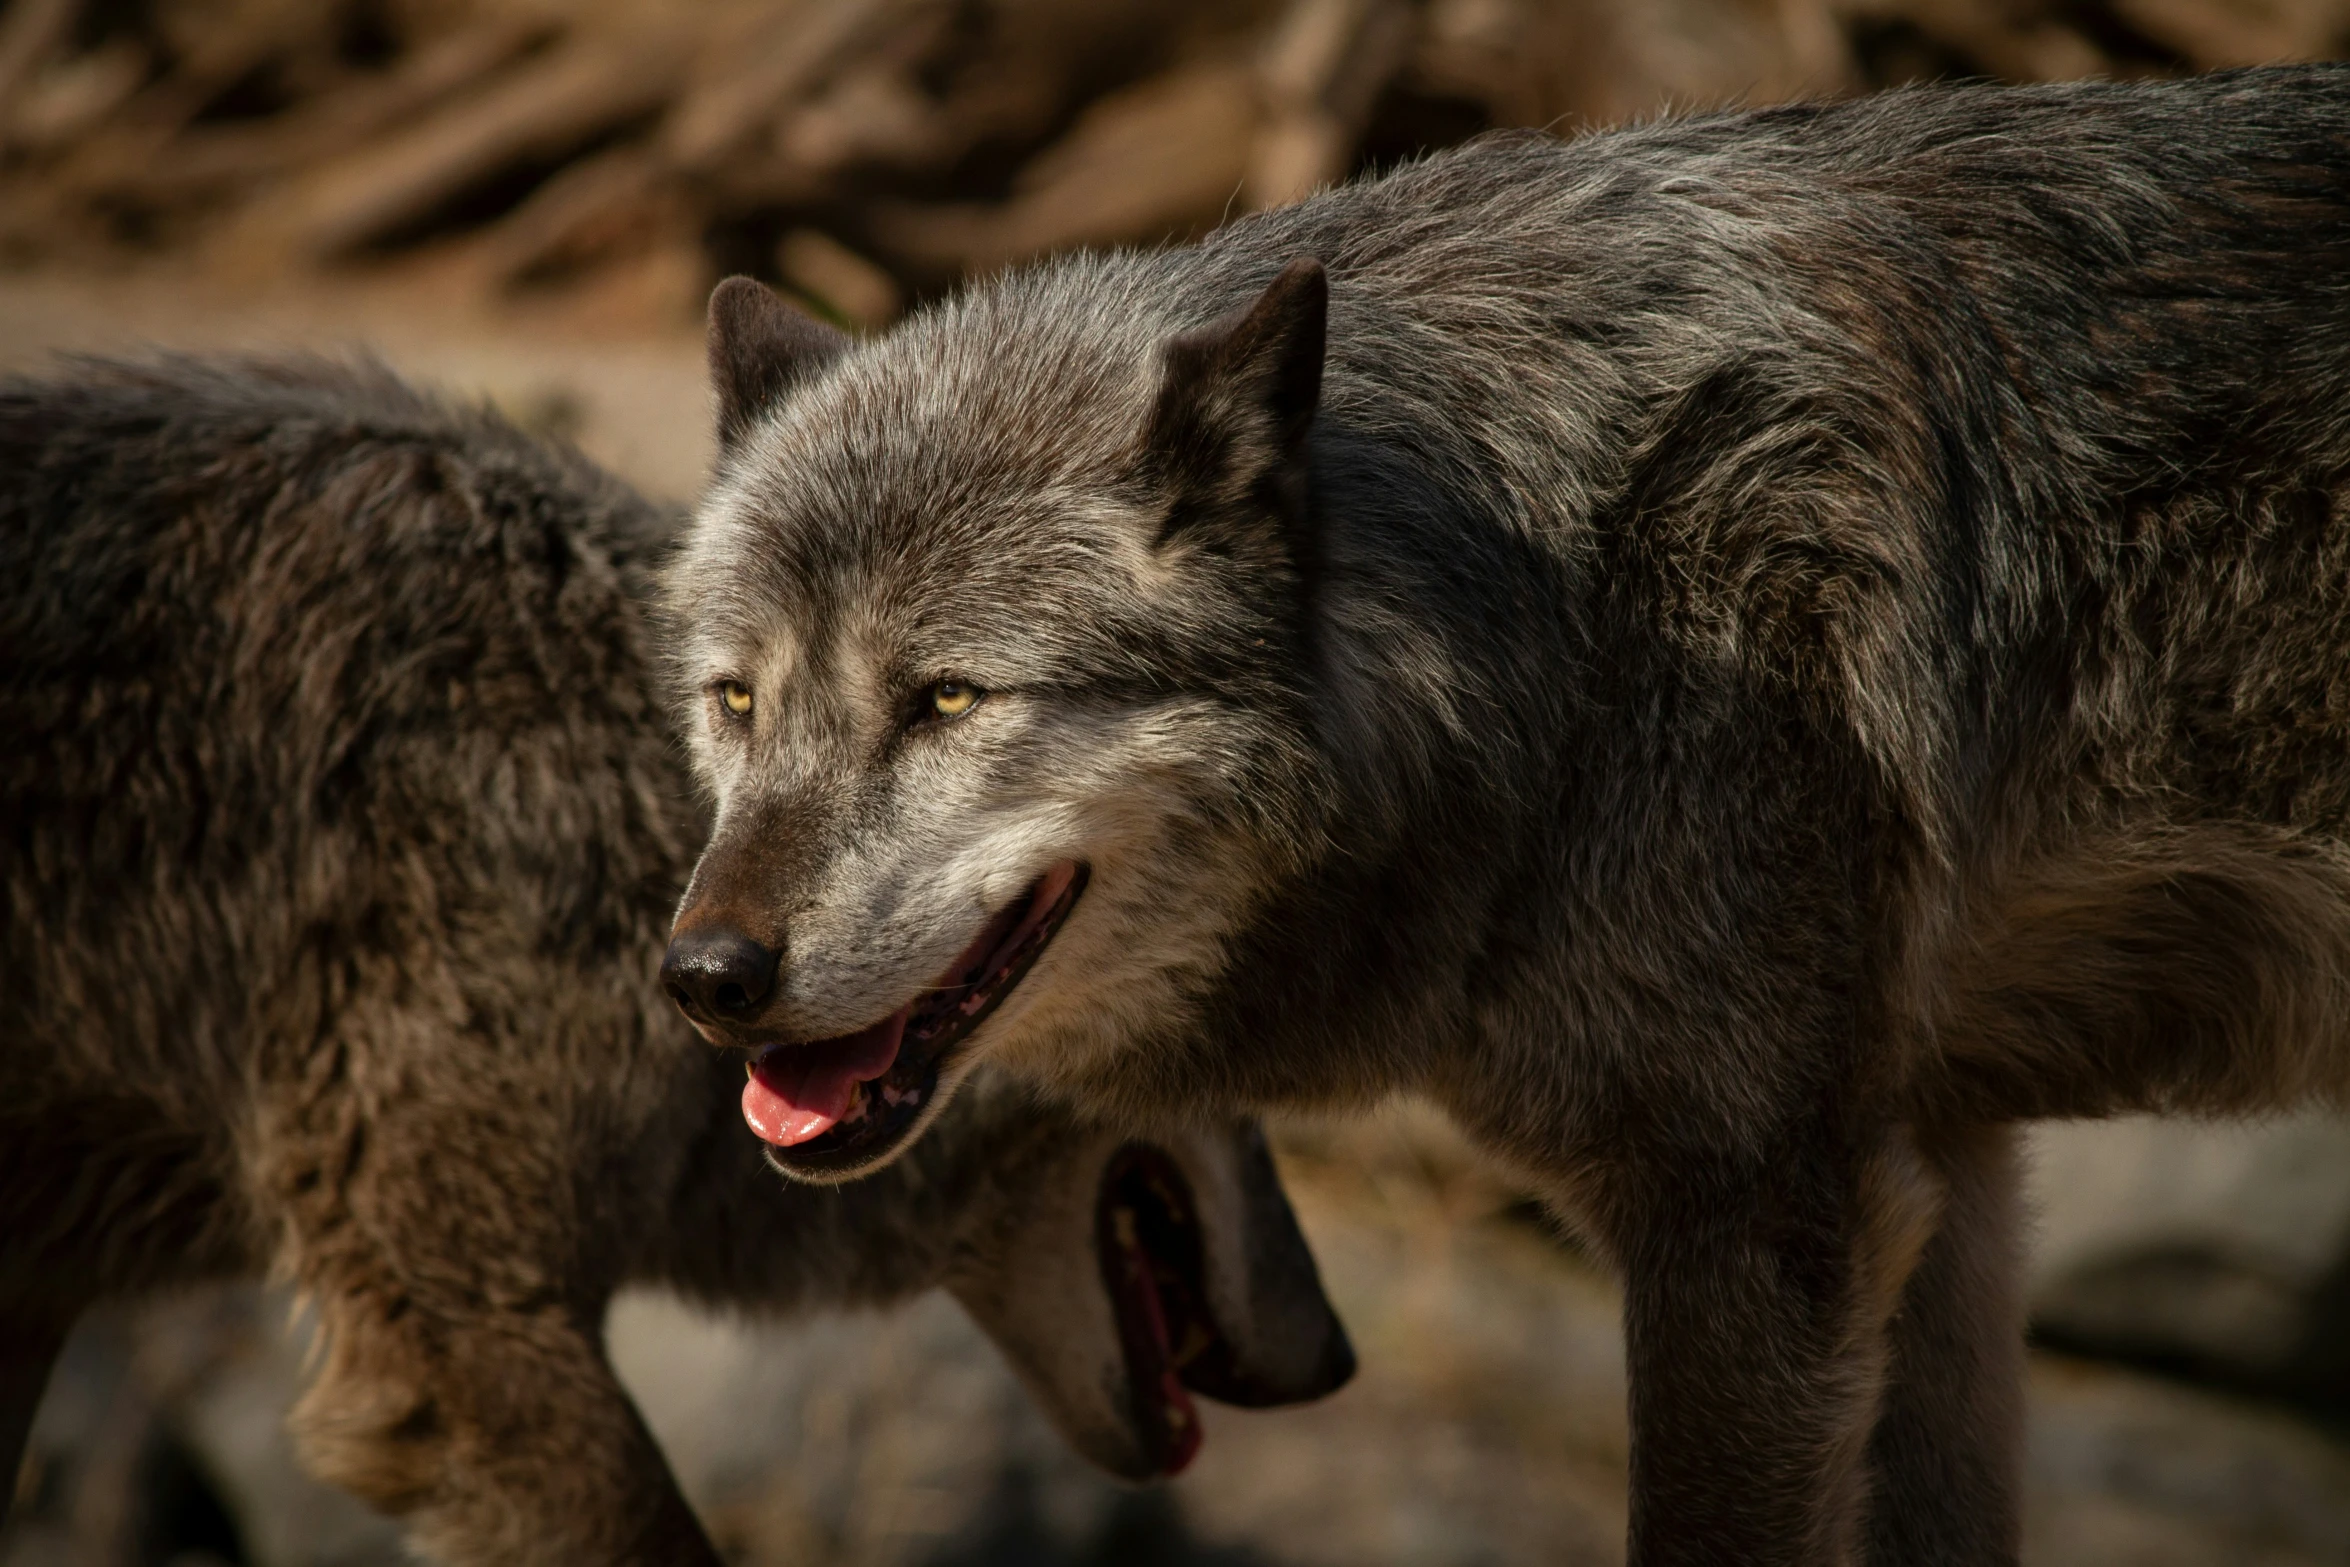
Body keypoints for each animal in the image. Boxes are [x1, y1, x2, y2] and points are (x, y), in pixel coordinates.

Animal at [653, 67, 2350, 1567]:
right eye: (735, 700)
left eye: (945, 698)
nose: (702, 978)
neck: (1561, 607)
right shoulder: (1934, 1170)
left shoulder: (1755, 1215)